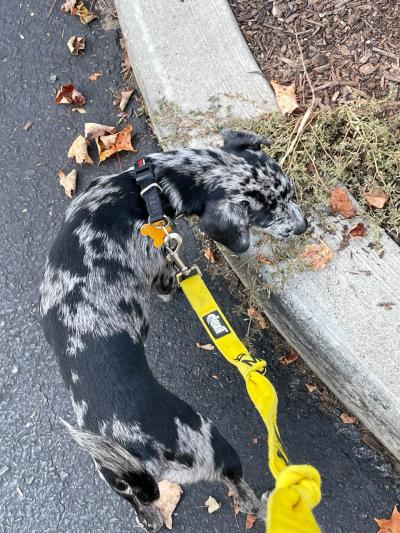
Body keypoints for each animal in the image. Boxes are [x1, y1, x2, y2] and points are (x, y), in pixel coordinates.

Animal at [39, 129, 306, 528]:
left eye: (289, 192)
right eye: (268, 213)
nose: (304, 226)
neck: (148, 186)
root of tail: (137, 455)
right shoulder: (162, 260)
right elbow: (168, 281)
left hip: (121, 482)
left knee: (143, 507)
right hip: (212, 443)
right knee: (240, 490)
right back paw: (266, 504)